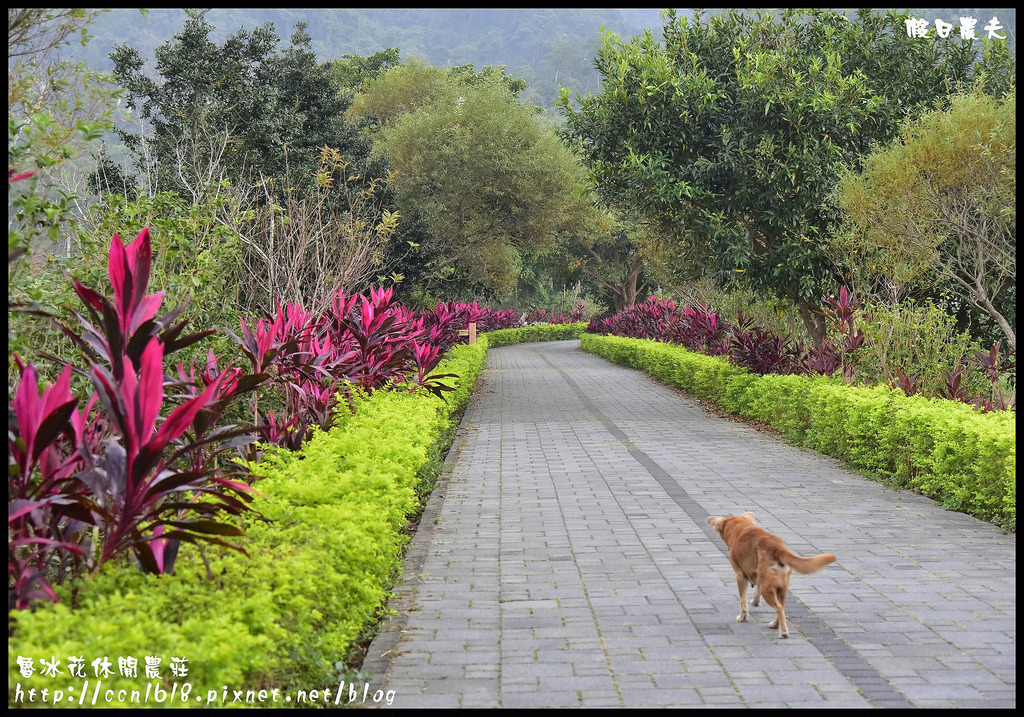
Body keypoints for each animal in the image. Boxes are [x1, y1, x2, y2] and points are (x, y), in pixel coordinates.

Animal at [708, 510, 835, 639]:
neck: (740, 527)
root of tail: (777, 548)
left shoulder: (740, 576)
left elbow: (743, 602)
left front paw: (742, 617)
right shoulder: (759, 578)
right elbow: (756, 591)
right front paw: (755, 602)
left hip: (768, 590)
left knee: (778, 608)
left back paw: (783, 632)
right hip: (781, 588)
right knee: (782, 607)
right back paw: (775, 625)